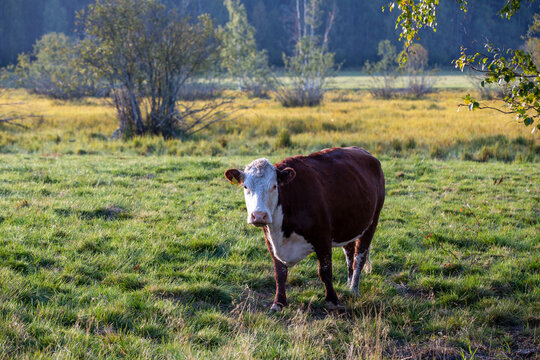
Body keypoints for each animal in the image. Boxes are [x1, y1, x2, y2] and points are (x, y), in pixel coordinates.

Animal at [224, 148, 384, 310]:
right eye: (245, 187)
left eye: (274, 186)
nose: (258, 215)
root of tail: (363, 151)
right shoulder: (271, 241)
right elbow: (280, 273)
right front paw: (279, 302)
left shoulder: (323, 239)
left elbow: (325, 271)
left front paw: (332, 300)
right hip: (348, 226)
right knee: (350, 255)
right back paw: (348, 285)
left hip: (371, 223)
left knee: (359, 257)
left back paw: (354, 290)